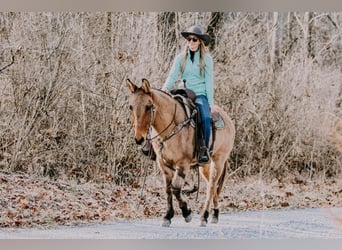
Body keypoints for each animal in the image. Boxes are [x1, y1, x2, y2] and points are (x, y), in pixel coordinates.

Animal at [125, 78, 235, 227]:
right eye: (130, 107)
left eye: (148, 106)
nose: (139, 138)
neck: (171, 128)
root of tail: (228, 119)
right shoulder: (163, 164)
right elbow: (168, 189)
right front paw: (168, 216)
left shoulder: (183, 164)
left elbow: (176, 188)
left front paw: (186, 213)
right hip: (206, 166)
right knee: (213, 188)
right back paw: (215, 214)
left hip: (219, 161)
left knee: (211, 187)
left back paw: (204, 216)